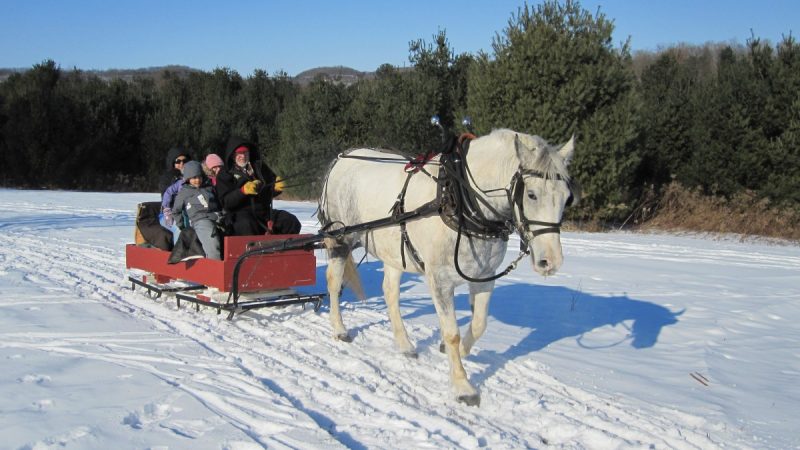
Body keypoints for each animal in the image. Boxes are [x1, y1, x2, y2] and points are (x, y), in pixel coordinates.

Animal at [318, 128, 575, 406]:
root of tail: (341, 158)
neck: (462, 202)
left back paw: (405, 344)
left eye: (566, 198)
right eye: (531, 194)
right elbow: (452, 332)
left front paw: (457, 351)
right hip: (340, 239)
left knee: (390, 293)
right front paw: (463, 386)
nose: (550, 261)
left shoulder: (485, 277)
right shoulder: (439, 279)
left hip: (394, 252)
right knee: (333, 281)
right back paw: (340, 329)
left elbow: (479, 324)